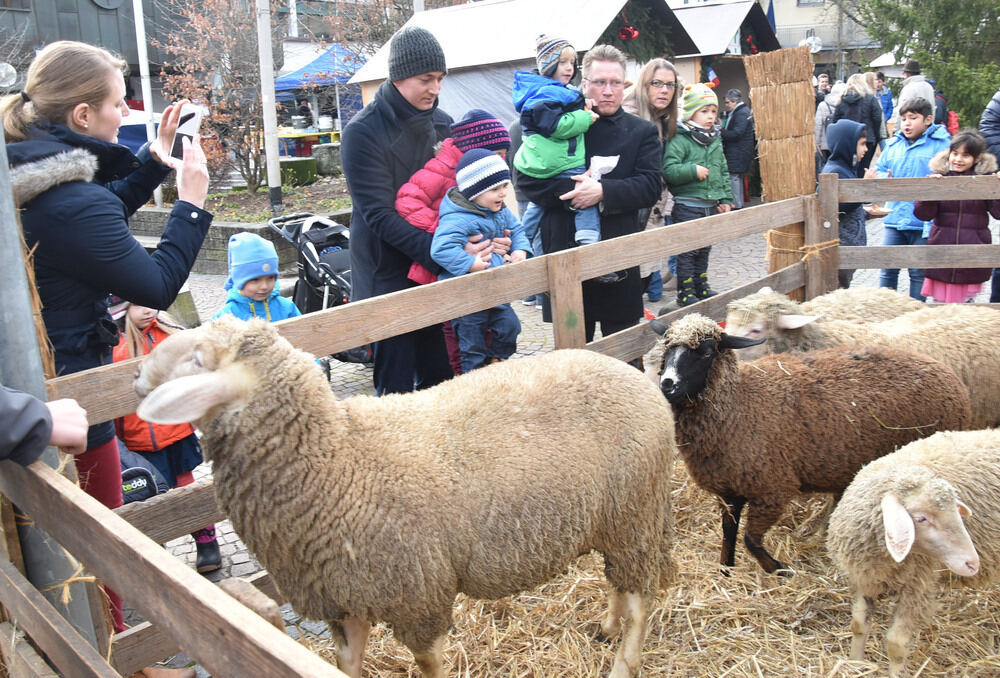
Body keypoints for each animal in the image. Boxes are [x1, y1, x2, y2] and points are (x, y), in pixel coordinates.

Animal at [133, 318, 676, 678]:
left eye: (198, 360)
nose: (136, 377)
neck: (337, 458)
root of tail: (639, 377)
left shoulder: (417, 597)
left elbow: (427, 663)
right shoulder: (344, 602)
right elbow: (347, 664)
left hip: (636, 509)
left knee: (643, 595)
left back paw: (624, 662)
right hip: (615, 518)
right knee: (621, 582)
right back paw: (607, 626)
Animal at [824, 432, 1000, 676]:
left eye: (957, 512)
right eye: (921, 519)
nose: (972, 563)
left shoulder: (918, 586)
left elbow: (896, 644)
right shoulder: (864, 578)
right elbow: (859, 625)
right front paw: (855, 663)